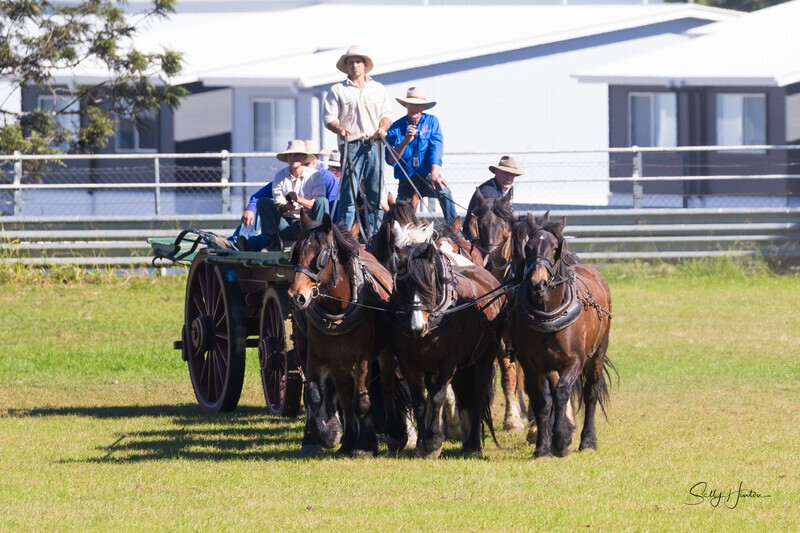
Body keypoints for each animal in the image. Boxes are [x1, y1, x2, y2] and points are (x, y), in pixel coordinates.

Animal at [288, 212, 408, 457]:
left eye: (321, 255)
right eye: (296, 254)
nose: (297, 296)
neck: (337, 312)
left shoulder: (363, 360)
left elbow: (362, 401)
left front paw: (365, 446)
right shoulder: (318, 357)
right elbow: (314, 394)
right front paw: (327, 434)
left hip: (384, 355)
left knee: (385, 387)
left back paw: (393, 431)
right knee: (342, 398)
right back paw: (343, 439)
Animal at [387, 239, 505, 458]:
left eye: (429, 283)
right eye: (404, 285)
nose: (417, 327)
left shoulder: (448, 362)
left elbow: (437, 397)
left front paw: (433, 443)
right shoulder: (408, 364)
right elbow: (419, 402)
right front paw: (421, 445)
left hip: (484, 359)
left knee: (477, 398)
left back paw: (473, 444)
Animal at [509, 212, 614, 458]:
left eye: (555, 248)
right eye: (528, 247)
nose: (537, 283)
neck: (548, 313)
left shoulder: (575, 360)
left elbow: (562, 393)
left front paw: (561, 438)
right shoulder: (531, 365)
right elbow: (542, 401)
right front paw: (543, 447)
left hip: (597, 353)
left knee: (590, 392)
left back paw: (588, 441)